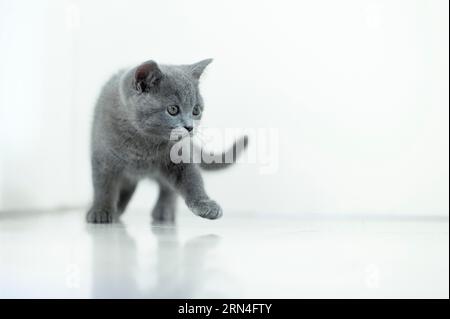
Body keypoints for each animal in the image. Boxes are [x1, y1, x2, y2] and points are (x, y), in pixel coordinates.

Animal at [86, 58, 248, 224]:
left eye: (196, 110)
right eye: (173, 109)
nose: (190, 127)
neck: (144, 143)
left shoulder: (179, 155)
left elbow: (192, 179)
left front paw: (205, 204)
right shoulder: (103, 157)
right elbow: (103, 186)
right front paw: (101, 211)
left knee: (167, 189)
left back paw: (164, 212)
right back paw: (118, 209)